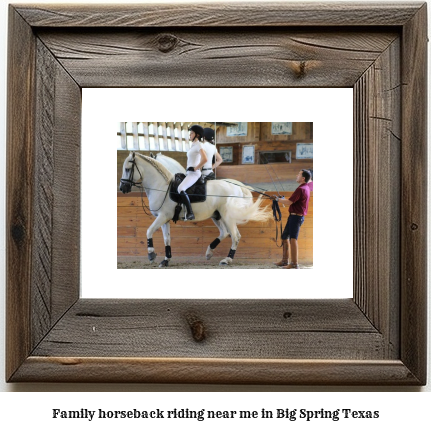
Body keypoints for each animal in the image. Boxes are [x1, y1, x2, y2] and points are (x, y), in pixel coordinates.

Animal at [120, 152, 272, 266]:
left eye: (127, 169)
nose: (122, 188)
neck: (163, 186)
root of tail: (238, 186)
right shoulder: (164, 219)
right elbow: (166, 239)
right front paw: (166, 260)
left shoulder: (162, 216)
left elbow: (149, 231)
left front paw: (151, 254)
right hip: (217, 215)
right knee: (224, 233)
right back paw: (209, 252)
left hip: (227, 216)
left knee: (235, 236)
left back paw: (227, 260)